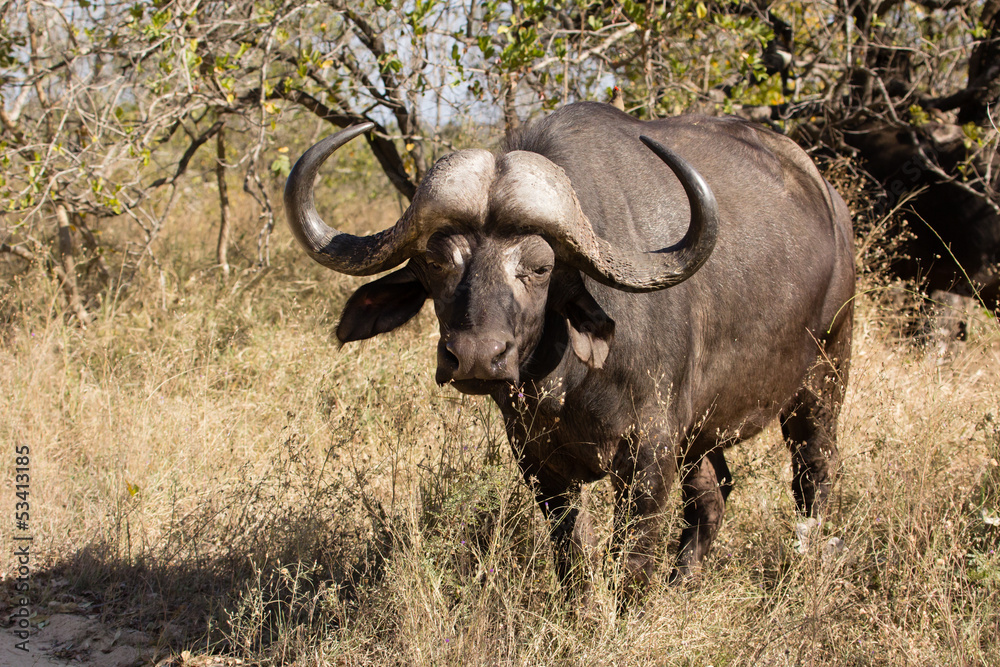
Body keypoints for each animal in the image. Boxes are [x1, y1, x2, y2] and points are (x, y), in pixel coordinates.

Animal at [286, 102, 856, 596]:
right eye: (436, 263)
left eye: (540, 268)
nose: (476, 356)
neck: (566, 384)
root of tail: (829, 200)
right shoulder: (541, 463)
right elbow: (573, 556)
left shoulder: (648, 456)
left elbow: (632, 562)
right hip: (699, 434)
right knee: (712, 501)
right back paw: (684, 582)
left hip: (824, 378)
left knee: (814, 476)